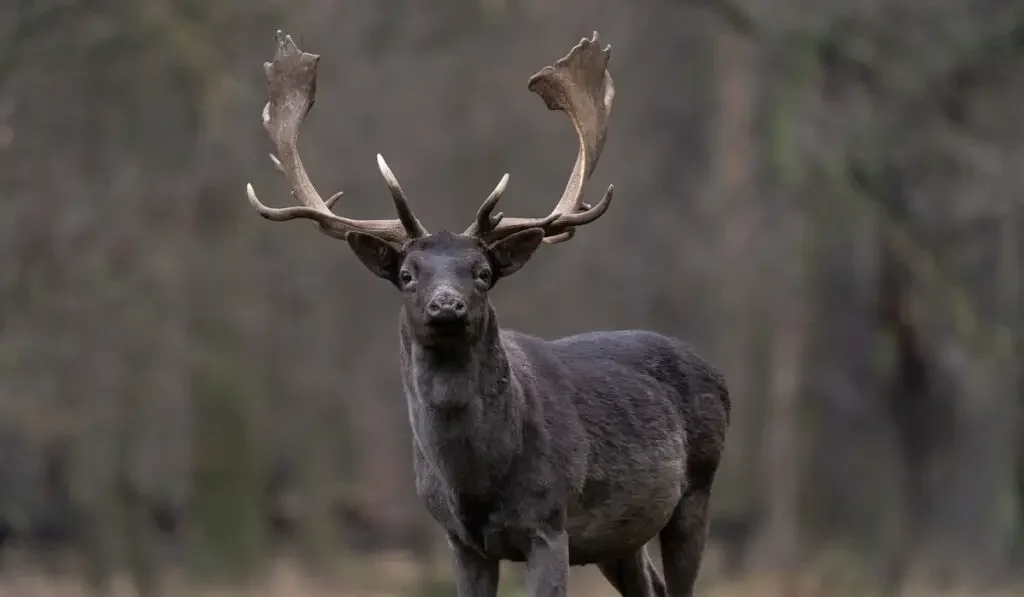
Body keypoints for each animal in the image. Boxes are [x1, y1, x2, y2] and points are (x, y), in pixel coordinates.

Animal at [243, 31, 733, 597]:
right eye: (407, 274)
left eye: (482, 272)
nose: (446, 305)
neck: (475, 482)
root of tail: (718, 374)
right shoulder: (460, 540)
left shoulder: (549, 523)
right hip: (621, 534)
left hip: (697, 490)